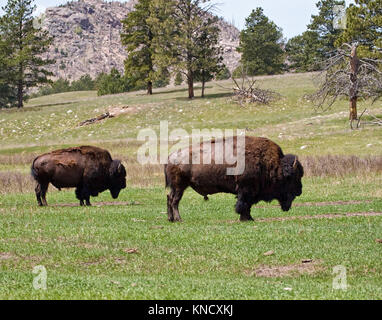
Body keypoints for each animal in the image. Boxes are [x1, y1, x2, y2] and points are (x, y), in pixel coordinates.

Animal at [164, 136, 304, 222]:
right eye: (293, 177)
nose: (299, 191)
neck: (273, 164)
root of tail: (170, 156)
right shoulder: (246, 189)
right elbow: (243, 204)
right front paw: (246, 219)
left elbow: (247, 205)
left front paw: (249, 218)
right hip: (179, 186)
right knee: (175, 201)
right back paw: (179, 219)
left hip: (176, 187)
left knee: (169, 198)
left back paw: (171, 219)